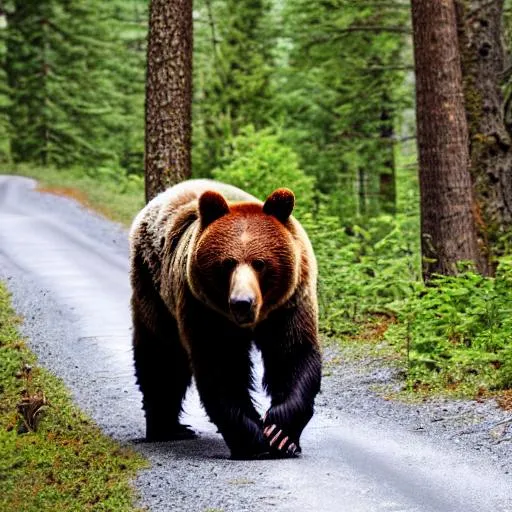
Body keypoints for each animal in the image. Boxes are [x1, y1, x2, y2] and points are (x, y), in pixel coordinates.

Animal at [129, 180, 320, 460]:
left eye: (260, 263)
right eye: (227, 263)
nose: (242, 302)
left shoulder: (289, 303)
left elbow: (292, 355)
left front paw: (281, 434)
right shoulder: (205, 310)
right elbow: (222, 368)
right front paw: (252, 440)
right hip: (153, 288)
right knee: (161, 358)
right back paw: (168, 429)